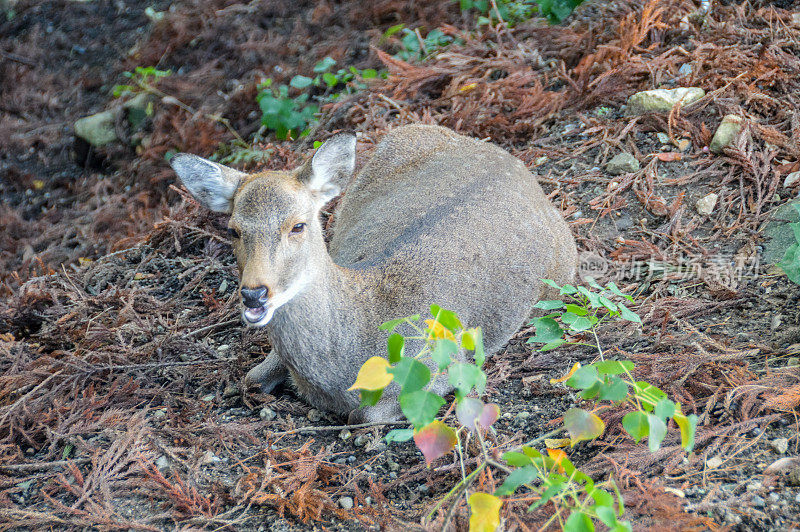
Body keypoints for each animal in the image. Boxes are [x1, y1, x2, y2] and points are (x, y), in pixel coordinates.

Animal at [172, 125, 580, 424]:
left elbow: (362, 416)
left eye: (298, 225)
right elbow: (248, 378)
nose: (254, 293)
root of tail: (511, 159)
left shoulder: (442, 368)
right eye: (233, 229)